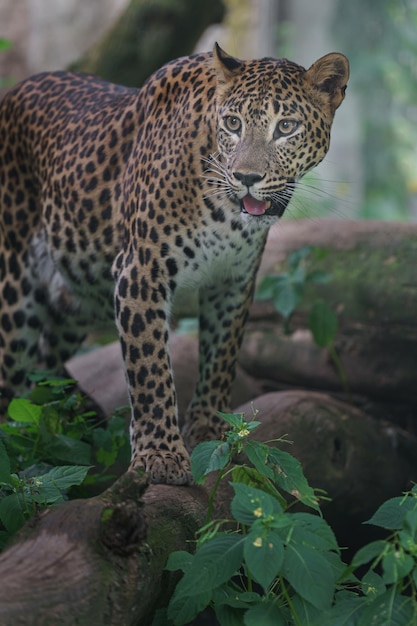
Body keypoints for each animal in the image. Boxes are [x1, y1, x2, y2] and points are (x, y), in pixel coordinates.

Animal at [0, 45, 348, 482]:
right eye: (233, 123)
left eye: (286, 126)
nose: (247, 177)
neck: (225, 213)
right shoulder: (140, 272)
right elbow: (150, 369)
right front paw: (160, 455)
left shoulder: (233, 281)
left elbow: (221, 356)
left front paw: (212, 430)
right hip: (15, 302)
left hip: (74, 301)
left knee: (41, 372)